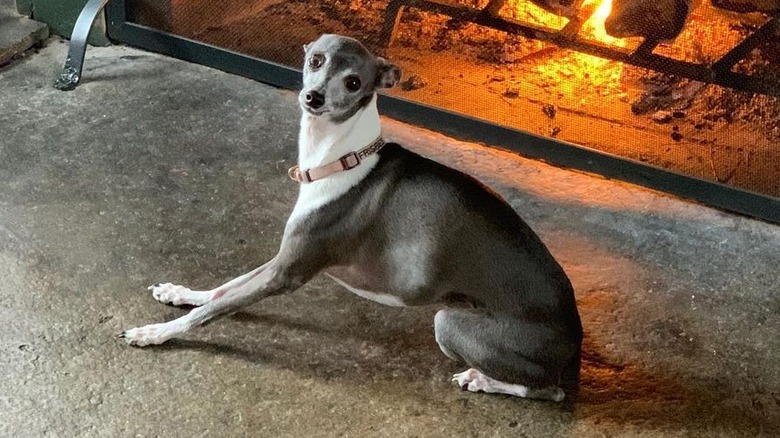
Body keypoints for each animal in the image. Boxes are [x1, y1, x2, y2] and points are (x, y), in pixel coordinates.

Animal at [122, 34, 580, 402]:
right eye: (316, 60)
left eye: (354, 83)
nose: (314, 98)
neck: (342, 159)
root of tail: (575, 338)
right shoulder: (284, 257)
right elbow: (222, 289)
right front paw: (179, 293)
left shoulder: (288, 271)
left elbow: (212, 312)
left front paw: (154, 333)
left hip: (450, 322)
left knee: (549, 391)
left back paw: (481, 379)